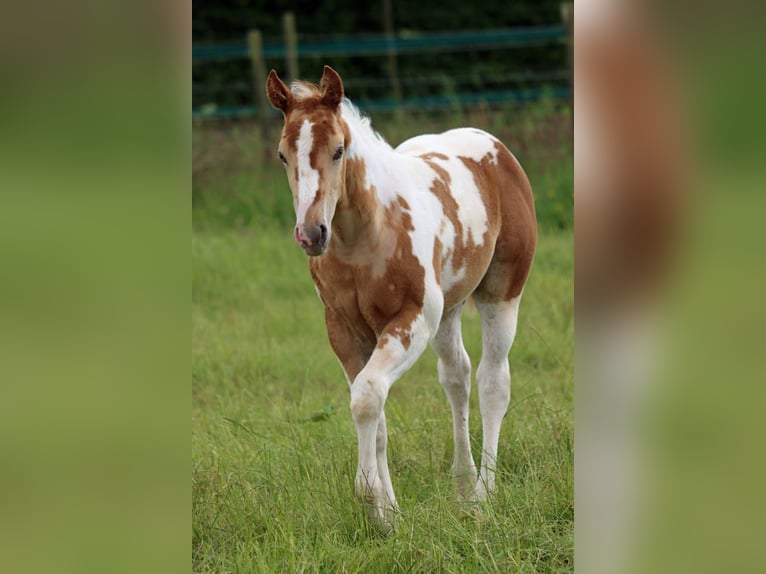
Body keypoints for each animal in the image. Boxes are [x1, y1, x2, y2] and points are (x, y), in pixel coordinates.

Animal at [266, 66, 537, 531]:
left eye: (339, 151)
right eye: (284, 155)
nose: (312, 234)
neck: (363, 237)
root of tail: (495, 147)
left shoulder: (412, 320)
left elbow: (367, 396)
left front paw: (369, 497)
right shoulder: (344, 330)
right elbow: (375, 412)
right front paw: (387, 515)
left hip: (500, 296)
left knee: (492, 382)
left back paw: (485, 495)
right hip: (449, 311)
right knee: (457, 377)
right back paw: (464, 488)